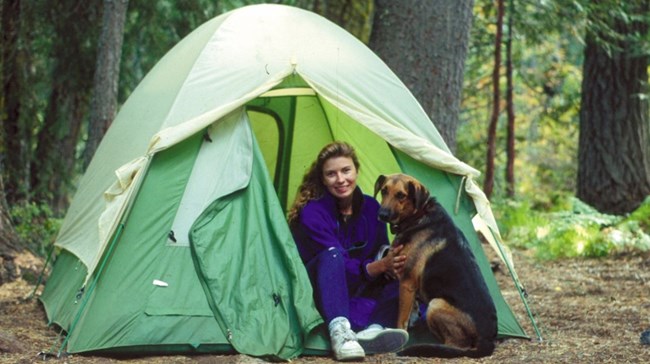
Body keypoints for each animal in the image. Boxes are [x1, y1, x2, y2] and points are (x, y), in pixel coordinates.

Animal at [370, 174, 496, 358]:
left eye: (401, 195)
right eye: (384, 190)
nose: (382, 214)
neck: (418, 216)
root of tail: (487, 339)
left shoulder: (406, 283)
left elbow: (401, 320)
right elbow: (410, 315)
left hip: (435, 304)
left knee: (457, 346)